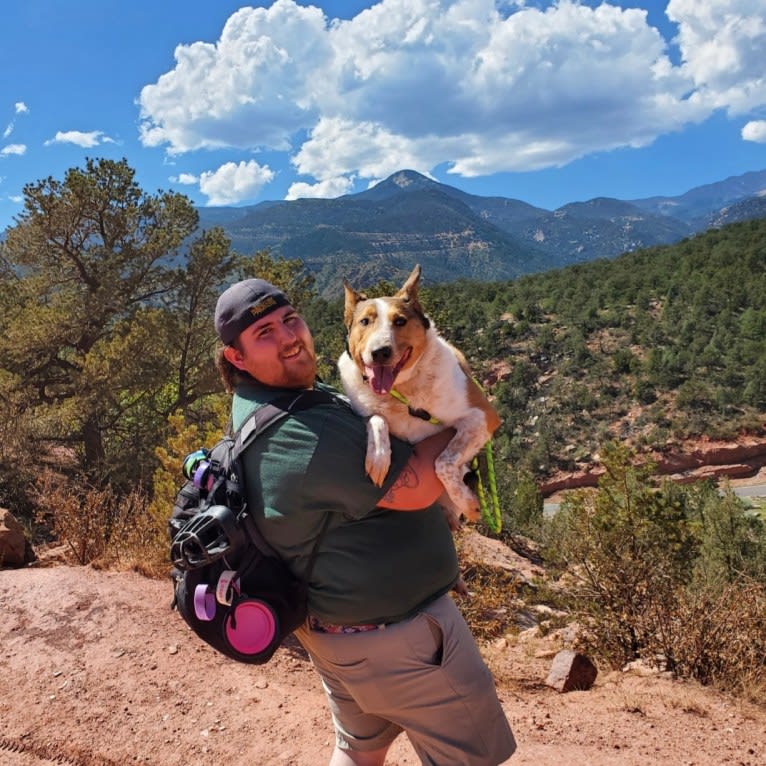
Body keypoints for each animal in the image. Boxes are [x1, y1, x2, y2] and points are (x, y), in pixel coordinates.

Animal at [340, 262, 500, 528]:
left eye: (400, 321)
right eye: (364, 321)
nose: (379, 352)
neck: (403, 391)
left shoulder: (482, 416)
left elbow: (443, 463)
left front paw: (468, 502)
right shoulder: (362, 409)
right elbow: (376, 418)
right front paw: (379, 456)